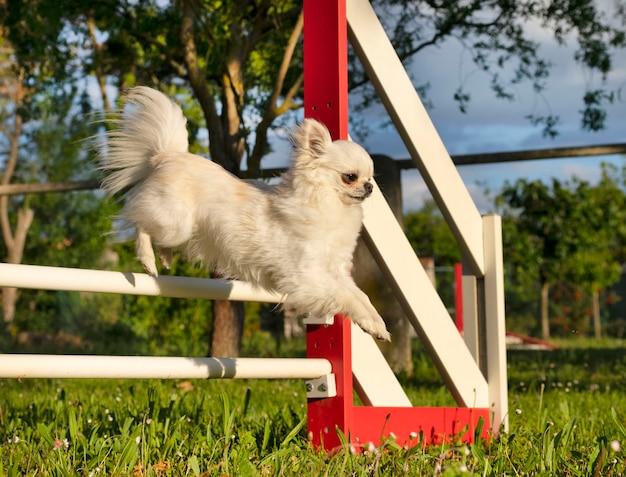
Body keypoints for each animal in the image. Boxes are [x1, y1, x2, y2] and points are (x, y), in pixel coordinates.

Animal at [99, 85, 388, 338]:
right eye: (350, 177)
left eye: (371, 176)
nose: (370, 186)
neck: (328, 205)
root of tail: (167, 155)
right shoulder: (306, 277)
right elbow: (346, 297)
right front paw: (369, 322)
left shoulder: (335, 271)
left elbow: (361, 295)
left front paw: (376, 322)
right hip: (175, 222)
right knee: (138, 221)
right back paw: (148, 259)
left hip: (178, 228)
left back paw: (165, 256)